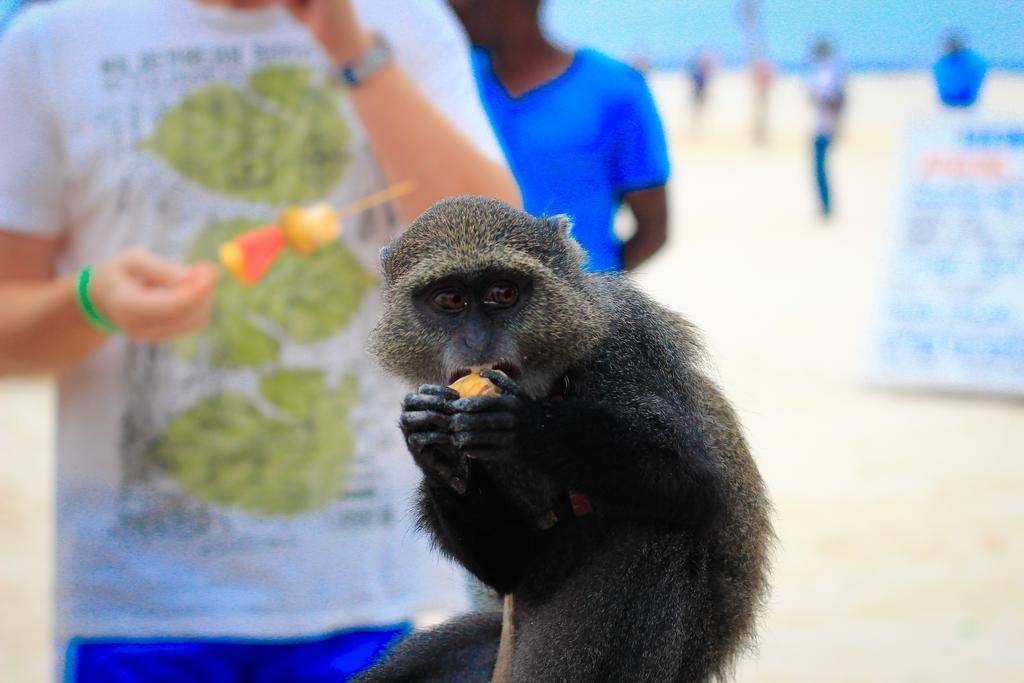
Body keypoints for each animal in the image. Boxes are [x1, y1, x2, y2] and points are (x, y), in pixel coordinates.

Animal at [360, 194, 770, 679]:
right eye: (451, 299)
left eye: (503, 294)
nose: (477, 342)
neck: (553, 380)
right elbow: (512, 565)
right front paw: (432, 448)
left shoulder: (632, 344)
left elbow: (696, 481)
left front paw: (520, 422)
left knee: (658, 530)